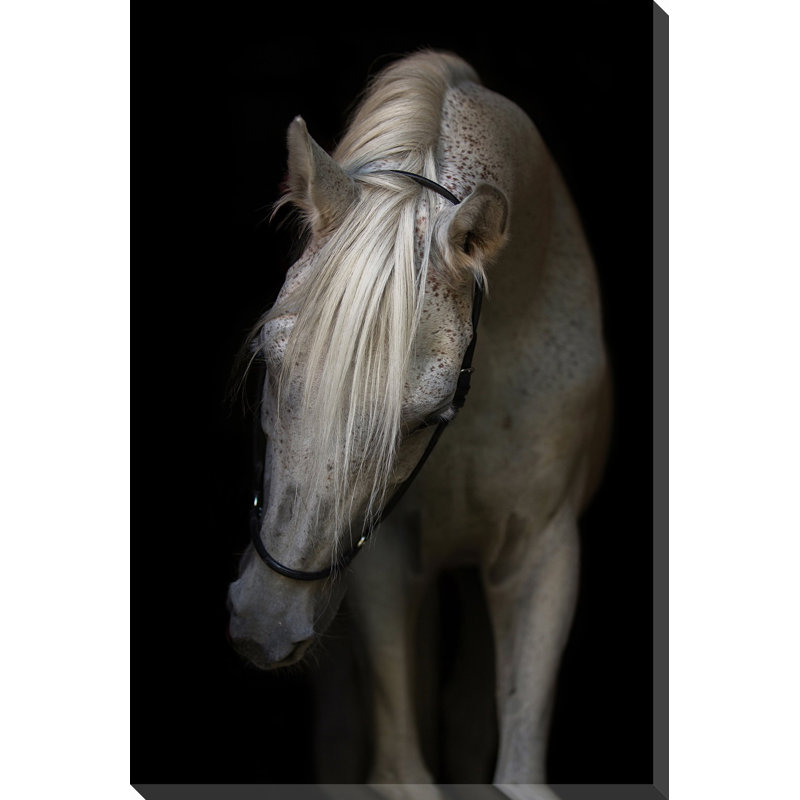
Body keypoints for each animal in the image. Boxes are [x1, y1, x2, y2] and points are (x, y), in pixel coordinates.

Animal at [227, 50, 611, 800]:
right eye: (269, 362)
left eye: (429, 415)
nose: (265, 622)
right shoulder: (385, 556)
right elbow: (400, 769)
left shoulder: (543, 555)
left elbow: (516, 769)